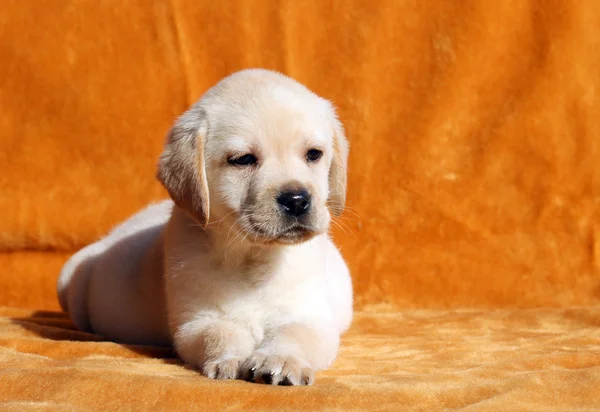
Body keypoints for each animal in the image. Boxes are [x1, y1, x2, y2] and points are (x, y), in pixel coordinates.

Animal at [56, 68, 352, 386]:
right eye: (243, 160)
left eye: (313, 154)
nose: (297, 200)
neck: (252, 258)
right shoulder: (196, 322)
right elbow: (220, 334)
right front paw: (233, 360)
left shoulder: (311, 316)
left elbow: (296, 333)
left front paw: (281, 360)